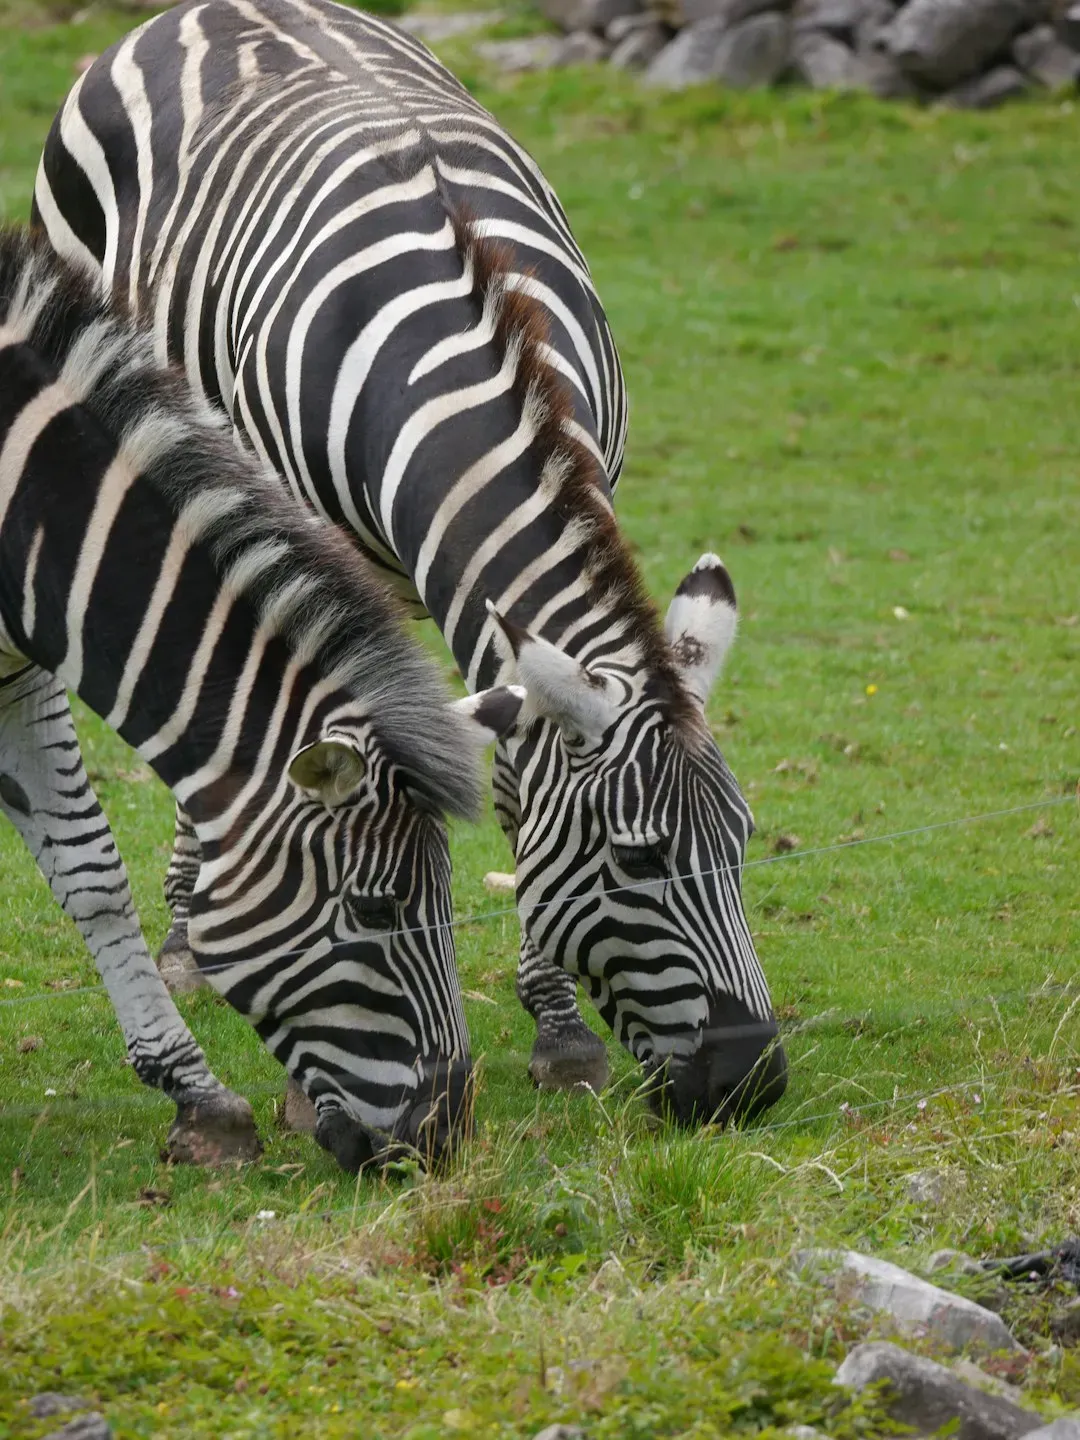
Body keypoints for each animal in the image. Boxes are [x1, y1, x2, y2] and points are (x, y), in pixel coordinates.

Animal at [0, 225, 522, 1170]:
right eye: (376, 907)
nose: (444, 1138)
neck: (21, 509)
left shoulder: (19, 673)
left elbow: (92, 877)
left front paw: (199, 1098)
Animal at [34, 0, 788, 1127]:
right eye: (641, 857)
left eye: (742, 842)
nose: (753, 1083)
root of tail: (206, 10)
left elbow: (513, 776)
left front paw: (556, 1029)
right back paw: (183, 941)